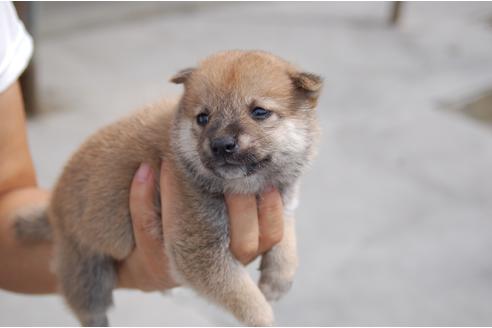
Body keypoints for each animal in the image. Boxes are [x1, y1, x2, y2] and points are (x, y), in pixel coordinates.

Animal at [15, 50, 322, 326]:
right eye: (203, 118)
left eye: (259, 112)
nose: (221, 144)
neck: (246, 188)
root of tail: (52, 207)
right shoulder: (200, 251)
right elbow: (241, 293)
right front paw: (263, 315)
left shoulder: (283, 205)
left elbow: (286, 240)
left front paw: (278, 278)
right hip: (86, 267)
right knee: (87, 305)